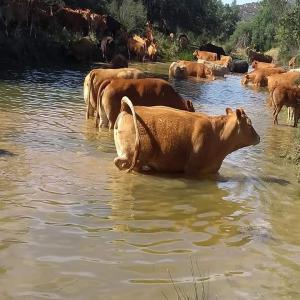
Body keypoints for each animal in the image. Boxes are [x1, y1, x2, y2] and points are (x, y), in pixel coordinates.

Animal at [113, 96, 258, 176]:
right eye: (249, 123)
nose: (258, 137)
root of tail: (125, 109)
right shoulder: (192, 169)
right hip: (135, 157)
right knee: (119, 162)